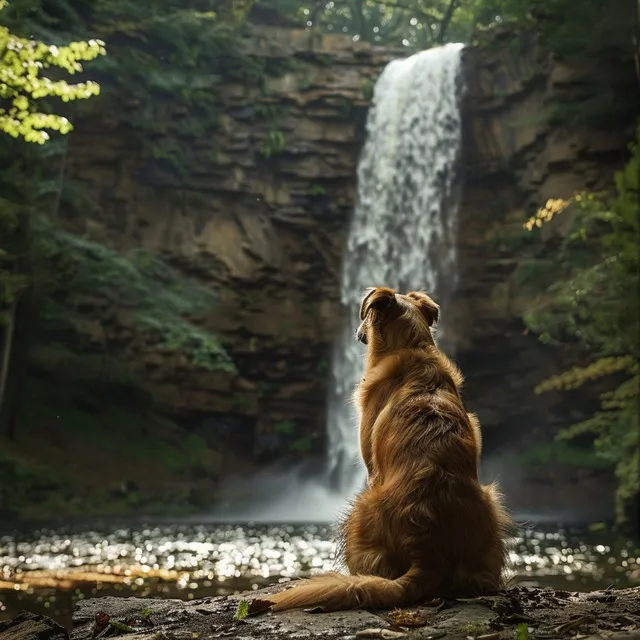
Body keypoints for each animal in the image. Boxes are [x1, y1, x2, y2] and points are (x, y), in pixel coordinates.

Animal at [262, 288, 512, 612]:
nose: (356, 330)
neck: (413, 348)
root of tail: (429, 555)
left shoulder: (371, 469)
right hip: (491, 502)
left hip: (359, 507)